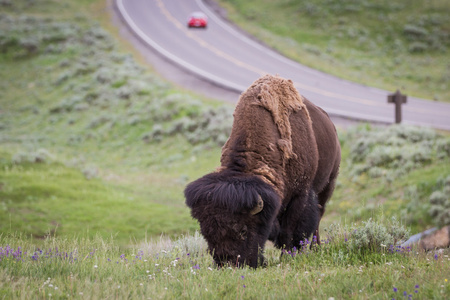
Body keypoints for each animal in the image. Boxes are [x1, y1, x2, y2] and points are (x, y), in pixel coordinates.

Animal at [185, 74, 340, 268]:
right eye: (207, 232)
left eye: (243, 231)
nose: (228, 264)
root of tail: (331, 125)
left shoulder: (301, 195)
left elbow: (291, 230)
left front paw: (288, 256)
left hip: (328, 184)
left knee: (319, 215)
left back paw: (316, 247)